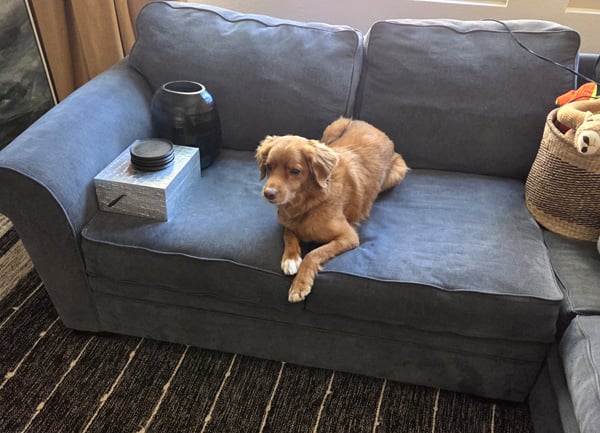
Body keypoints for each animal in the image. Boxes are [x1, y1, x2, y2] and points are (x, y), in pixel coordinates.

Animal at [256, 117, 408, 302]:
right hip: (332, 129)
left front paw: (299, 285)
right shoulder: (287, 222)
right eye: (269, 166)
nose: (268, 194)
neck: (307, 204)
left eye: (295, 171)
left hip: (396, 173)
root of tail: (377, 130)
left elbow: (313, 254)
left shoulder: (349, 237)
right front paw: (290, 258)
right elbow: (288, 234)